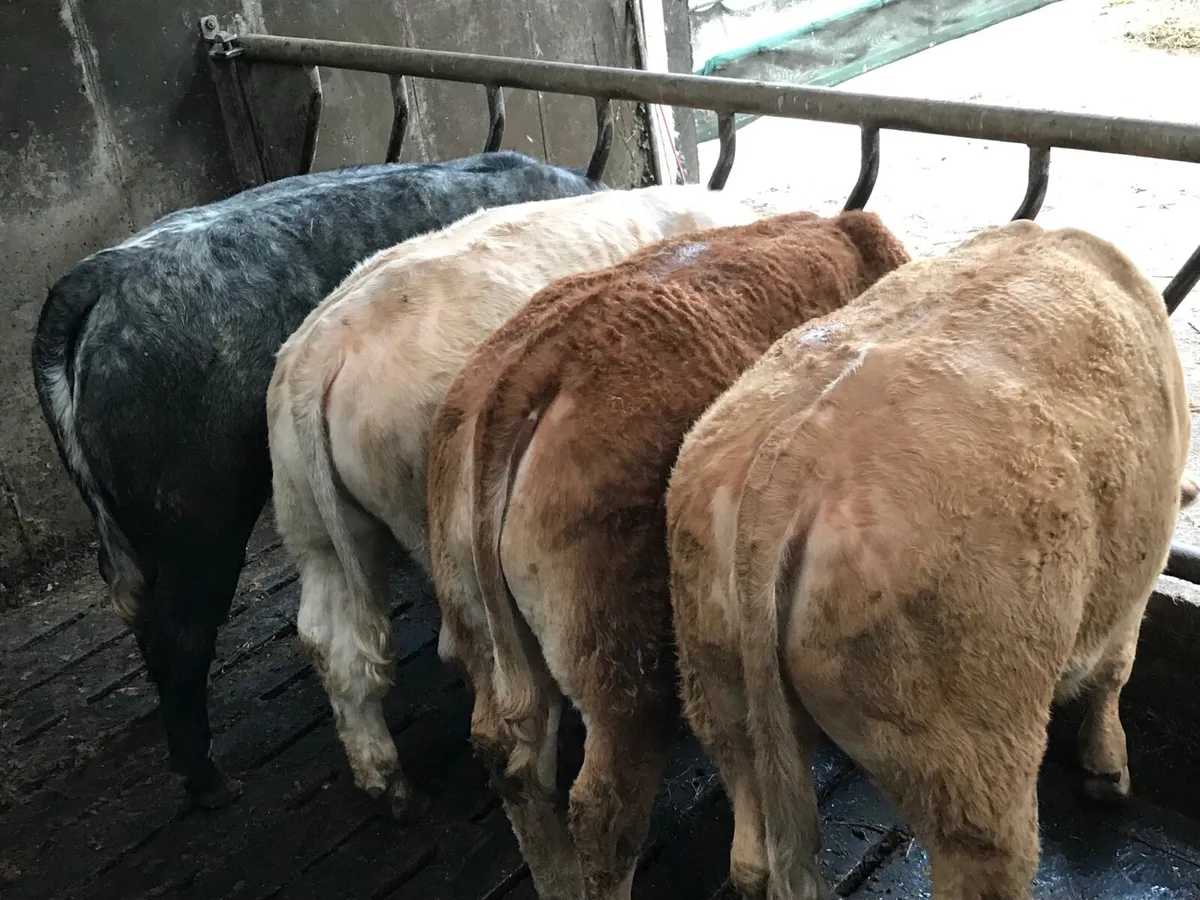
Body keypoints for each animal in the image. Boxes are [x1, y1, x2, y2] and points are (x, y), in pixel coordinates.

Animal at [664, 220, 1196, 900]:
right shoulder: (1136, 574)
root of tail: (791, 457)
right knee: (983, 851)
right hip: (969, 757)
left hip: (712, 674)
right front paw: (1108, 768)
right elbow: (1116, 668)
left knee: (748, 832)